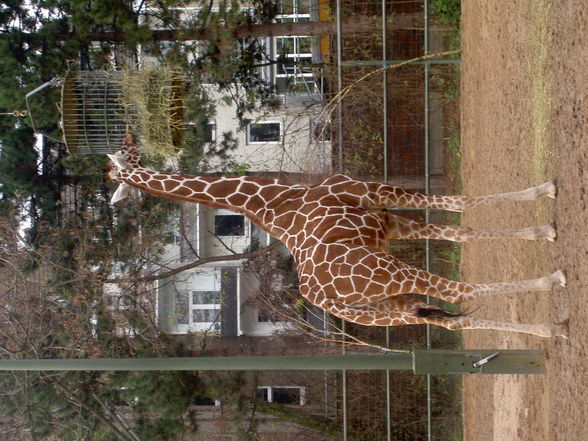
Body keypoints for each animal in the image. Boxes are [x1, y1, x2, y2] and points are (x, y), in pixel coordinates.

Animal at [107, 134, 568, 336]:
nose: (130, 137)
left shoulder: (387, 221)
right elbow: (463, 204)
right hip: (387, 273)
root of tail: (328, 299)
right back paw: (555, 312)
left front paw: (542, 223)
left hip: (387, 309)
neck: (274, 200)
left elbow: (464, 229)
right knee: (459, 292)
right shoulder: (379, 196)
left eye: (123, 159)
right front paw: (546, 198)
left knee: (450, 317)